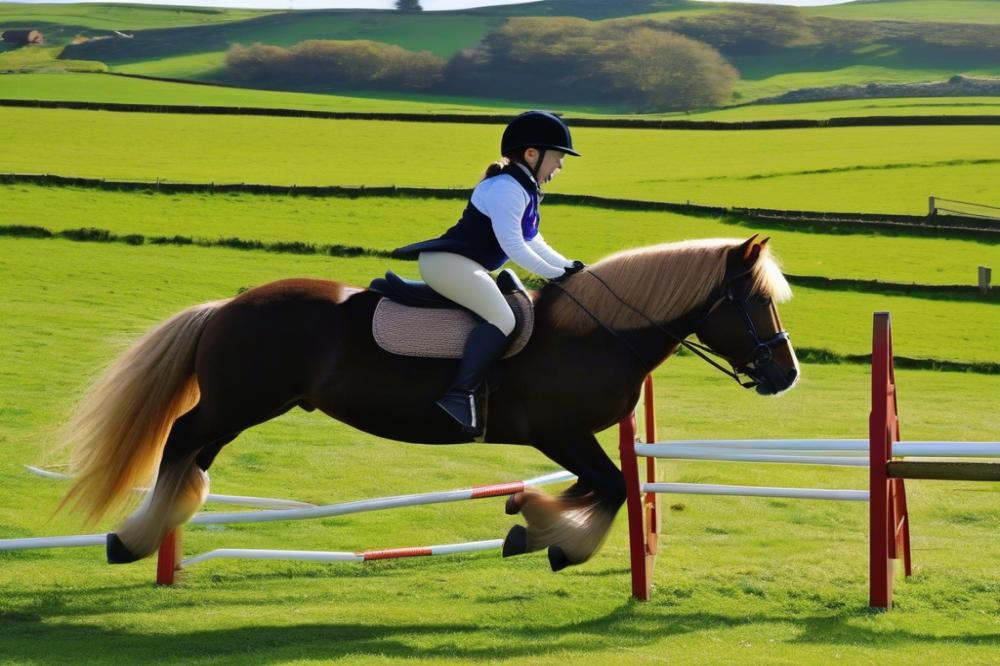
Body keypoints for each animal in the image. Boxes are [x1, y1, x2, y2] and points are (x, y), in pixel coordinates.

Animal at [60, 233, 796, 572]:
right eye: (755, 302)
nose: (785, 375)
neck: (597, 334)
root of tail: (227, 308)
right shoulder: (560, 434)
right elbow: (611, 487)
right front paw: (557, 541)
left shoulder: (571, 440)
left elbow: (602, 487)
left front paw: (529, 521)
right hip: (240, 401)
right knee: (182, 439)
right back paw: (131, 539)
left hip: (243, 406)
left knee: (195, 452)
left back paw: (151, 530)